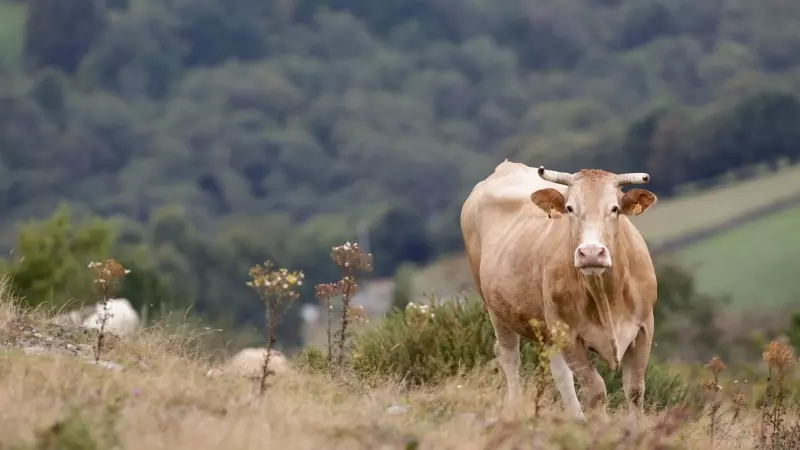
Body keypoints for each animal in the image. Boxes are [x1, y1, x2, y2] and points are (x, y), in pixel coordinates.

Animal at [460, 161, 660, 422]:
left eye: (614, 208)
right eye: (569, 208)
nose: (591, 252)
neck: (606, 298)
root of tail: (507, 166)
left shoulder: (644, 327)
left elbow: (635, 390)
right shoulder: (569, 334)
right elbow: (596, 390)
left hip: (546, 326)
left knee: (559, 371)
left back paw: (576, 419)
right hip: (495, 308)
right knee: (509, 355)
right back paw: (517, 410)